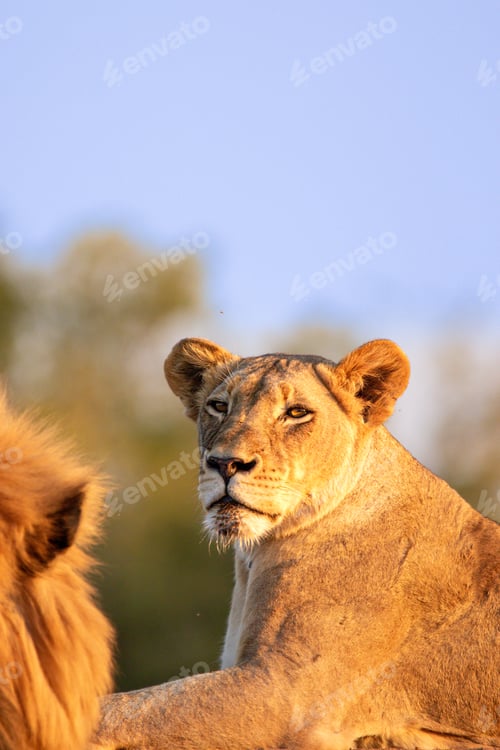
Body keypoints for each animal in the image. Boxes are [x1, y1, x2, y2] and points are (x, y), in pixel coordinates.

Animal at [94, 337, 500, 750]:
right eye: (219, 406)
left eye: (296, 413)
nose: (225, 463)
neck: (258, 551)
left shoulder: (284, 693)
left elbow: (124, 710)